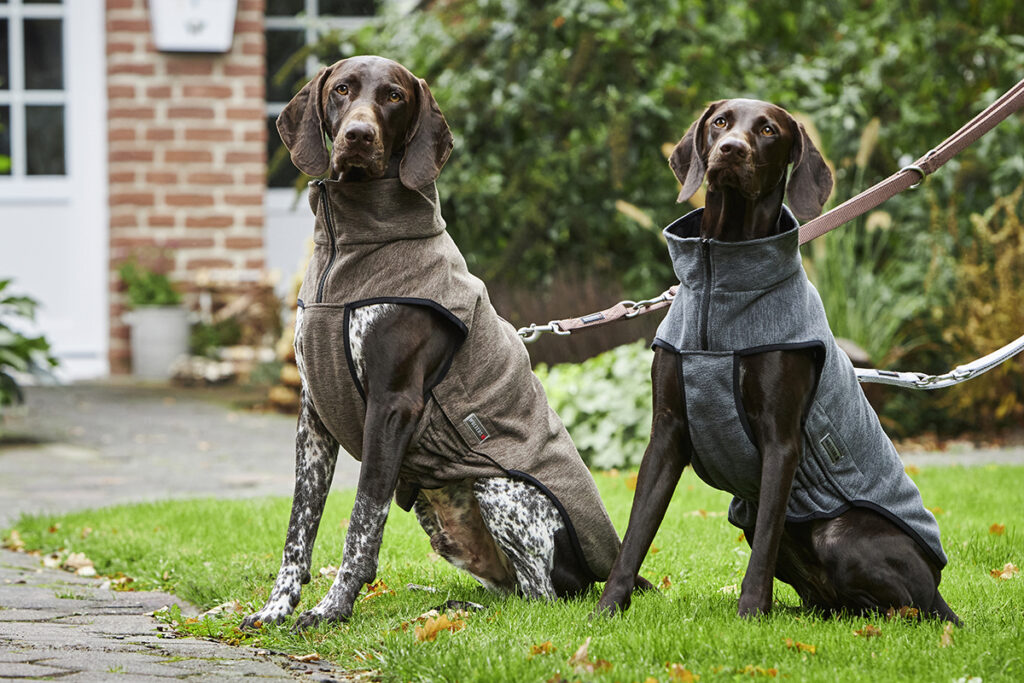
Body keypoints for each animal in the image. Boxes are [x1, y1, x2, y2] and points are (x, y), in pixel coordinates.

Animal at [593, 97, 958, 626]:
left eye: (768, 131)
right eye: (720, 122)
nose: (731, 149)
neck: (719, 270)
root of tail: (938, 587)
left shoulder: (780, 440)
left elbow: (764, 542)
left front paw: (750, 614)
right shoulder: (666, 433)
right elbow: (636, 533)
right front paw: (606, 609)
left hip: (844, 537)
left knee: (908, 608)